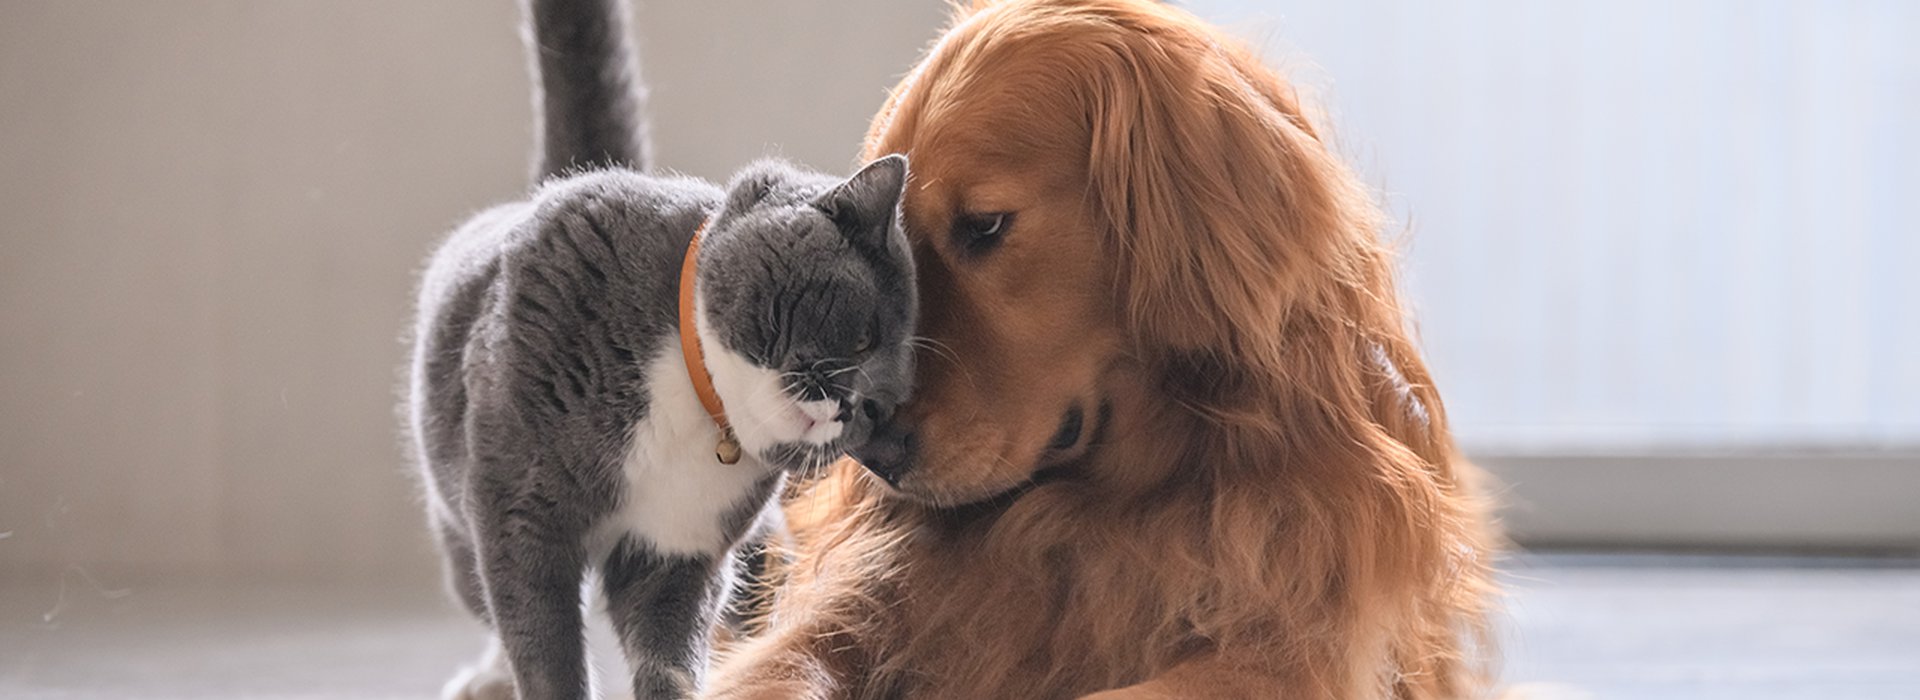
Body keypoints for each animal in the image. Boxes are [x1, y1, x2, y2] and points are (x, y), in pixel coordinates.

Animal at [403, 1, 913, 698]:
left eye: (878, 409)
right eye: (863, 336)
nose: (849, 407)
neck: (693, 405)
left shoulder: (680, 549)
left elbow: (669, 645)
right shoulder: (518, 513)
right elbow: (541, 638)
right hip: (459, 523)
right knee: (485, 599)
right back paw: (487, 678)